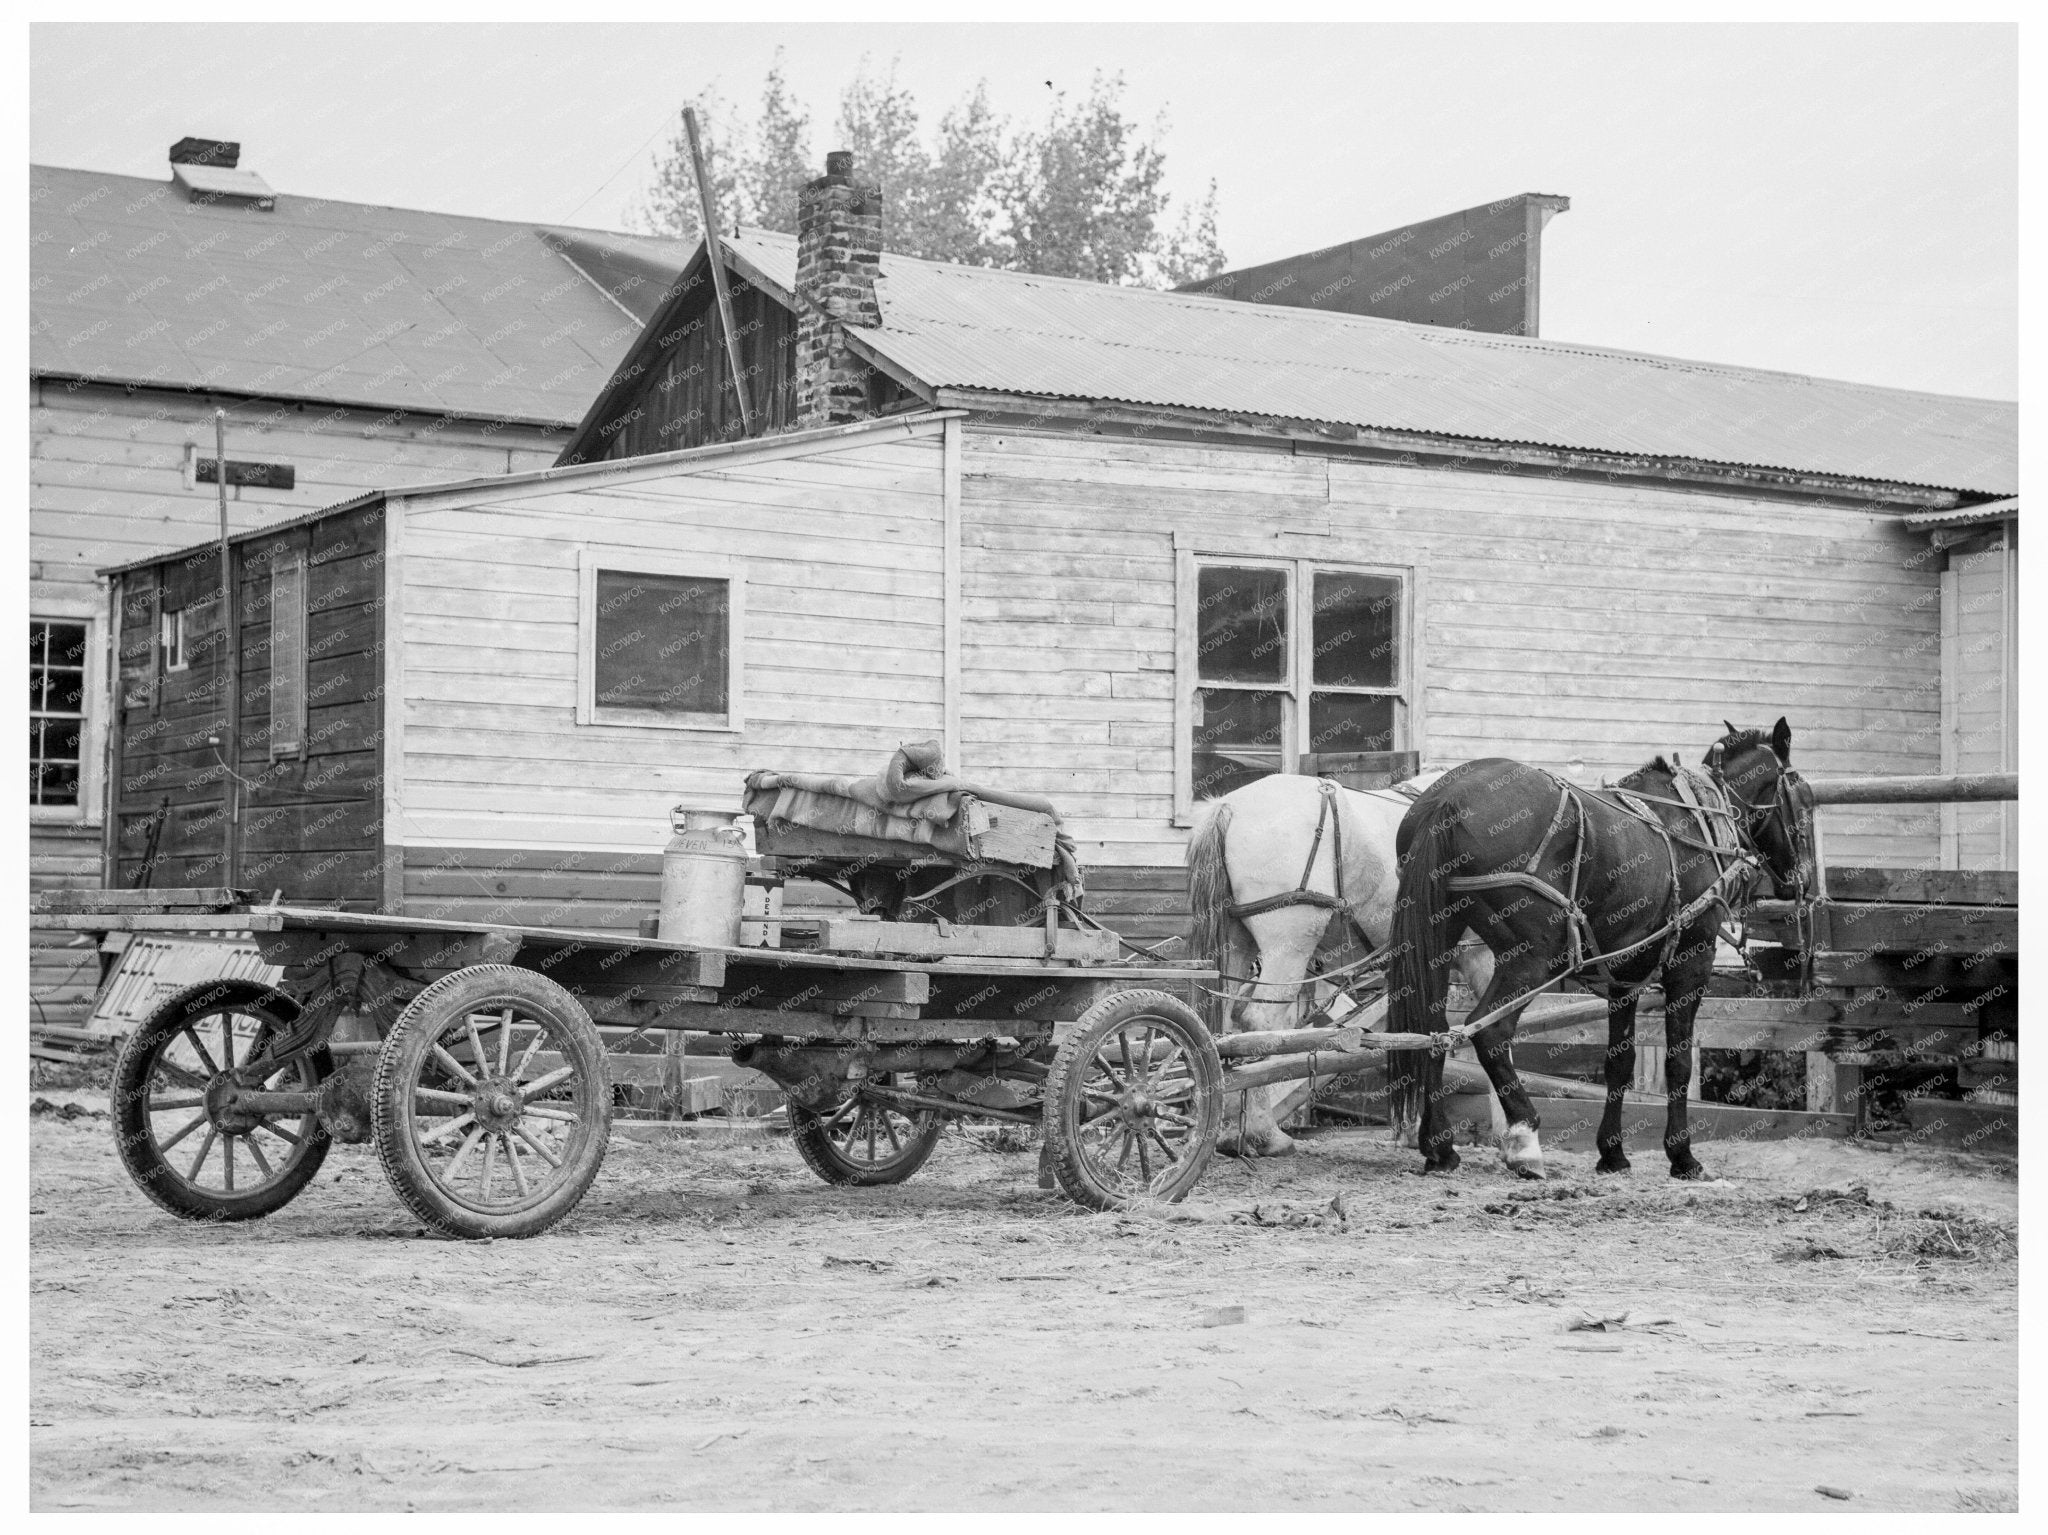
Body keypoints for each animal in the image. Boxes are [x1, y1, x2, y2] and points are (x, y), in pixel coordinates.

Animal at [1179, 773, 1499, 1162]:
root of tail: (1230, 807)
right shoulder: (1479, 953)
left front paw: (1411, 1129)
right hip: (1289, 942)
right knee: (1259, 1023)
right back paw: (1263, 1134)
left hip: (1234, 944)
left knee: (1226, 1028)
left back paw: (1229, 1131)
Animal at [1392, 728, 1810, 1187]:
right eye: (1804, 797)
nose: (1802, 879)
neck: (1698, 817)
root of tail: (1448, 800)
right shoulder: (1691, 964)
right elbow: (1678, 1063)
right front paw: (1682, 1155)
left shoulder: (1624, 979)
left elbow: (1620, 1062)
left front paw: (1613, 1152)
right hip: (1530, 957)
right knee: (1490, 1032)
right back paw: (1524, 1141)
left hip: (1440, 938)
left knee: (1431, 1030)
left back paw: (1440, 1146)